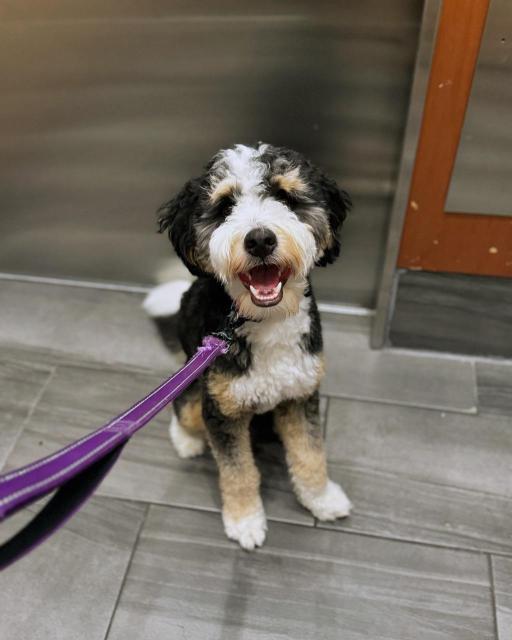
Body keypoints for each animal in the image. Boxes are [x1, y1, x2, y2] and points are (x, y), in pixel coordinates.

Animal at [144, 145, 352, 552]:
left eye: (285, 197)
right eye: (226, 205)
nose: (259, 239)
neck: (265, 320)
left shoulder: (301, 394)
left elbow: (311, 453)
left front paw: (321, 499)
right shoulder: (222, 412)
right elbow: (238, 472)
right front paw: (245, 522)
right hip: (196, 390)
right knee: (181, 409)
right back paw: (187, 441)